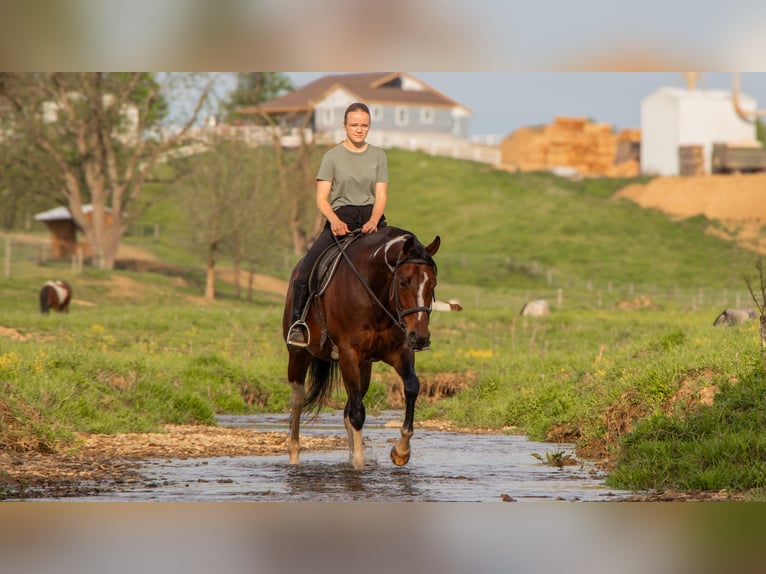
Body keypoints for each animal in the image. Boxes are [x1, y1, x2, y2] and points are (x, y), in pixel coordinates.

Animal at [284, 227, 440, 470]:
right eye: (403, 282)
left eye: (432, 284)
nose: (420, 337)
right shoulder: (349, 353)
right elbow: (358, 413)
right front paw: (359, 465)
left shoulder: (400, 352)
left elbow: (412, 386)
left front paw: (401, 451)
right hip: (300, 354)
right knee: (298, 399)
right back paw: (294, 454)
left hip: (363, 367)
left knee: (349, 405)